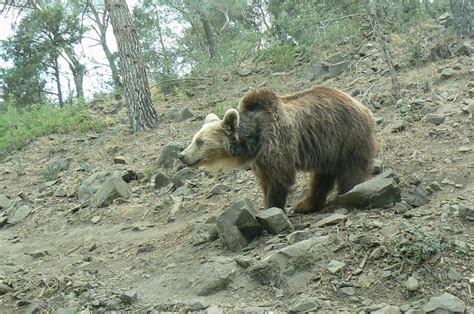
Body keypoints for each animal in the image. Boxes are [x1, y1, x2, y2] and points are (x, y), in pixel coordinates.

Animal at [180, 85, 380, 213]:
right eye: (194, 139)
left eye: (200, 141)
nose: (182, 156)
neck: (254, 139)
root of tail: (362, 106)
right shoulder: (260, 159)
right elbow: (265, 180)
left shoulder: (276, 142)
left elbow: (279, 178)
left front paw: (271, 207)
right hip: (327, 148)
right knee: (323, 176)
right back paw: (305, 204)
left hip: (347, 136)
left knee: (351, 169)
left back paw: (347, 195)